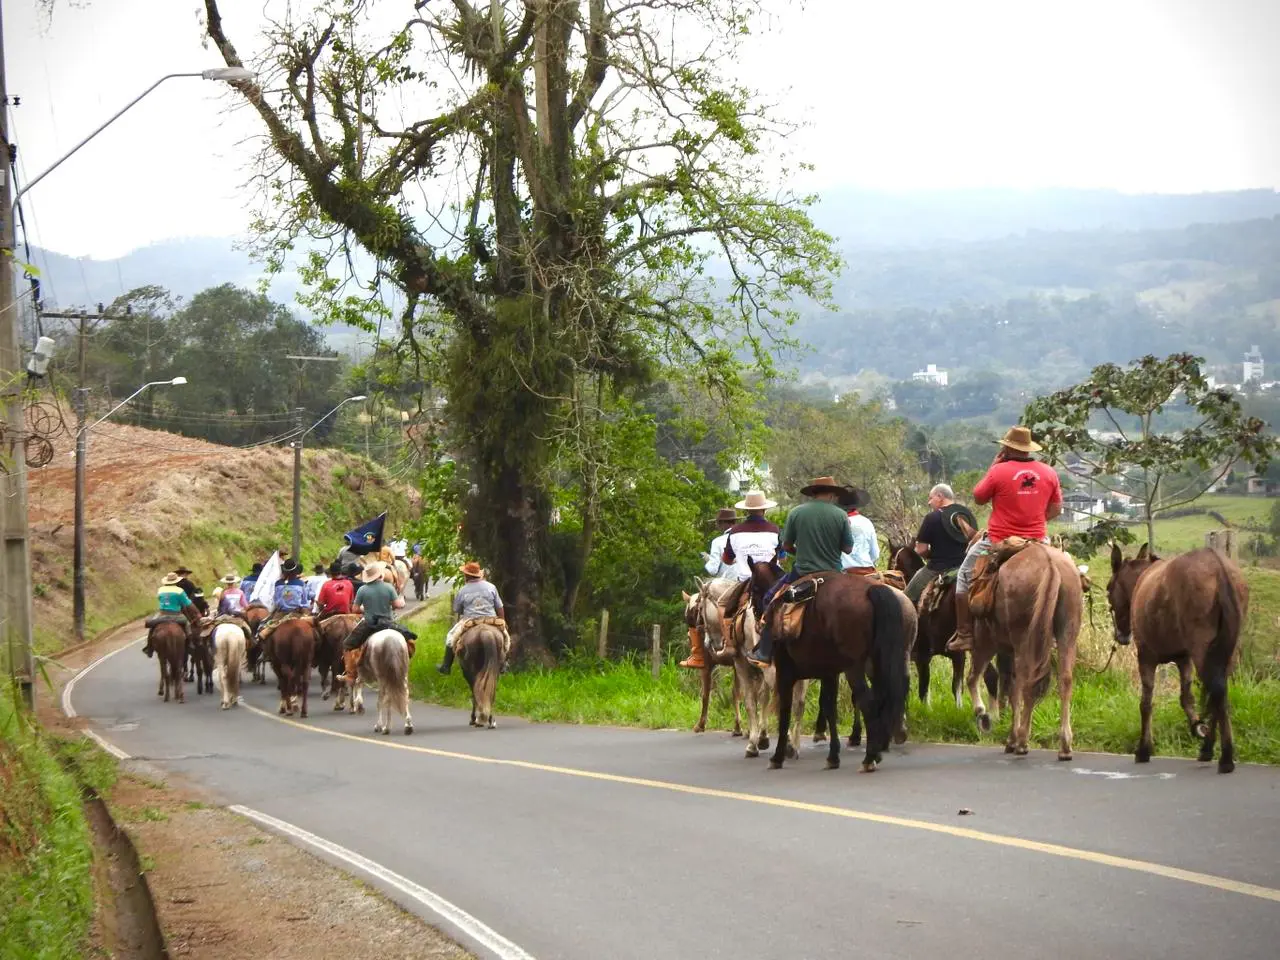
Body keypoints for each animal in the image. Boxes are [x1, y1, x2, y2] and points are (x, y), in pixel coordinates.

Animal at [762, 570, 906, 773]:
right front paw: (833, 757)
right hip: (877, 664)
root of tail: (872, 590)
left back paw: (869, 758)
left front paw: (777, 757)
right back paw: (877, 751)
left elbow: (785, 712)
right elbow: (830, 709)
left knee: (868, 703)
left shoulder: (784, 674)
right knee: (881, 701)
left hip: (854, 668)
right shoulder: (829, 674)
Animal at [962, 545, 1085, 762]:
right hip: (1067, 633)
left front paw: (984, 715)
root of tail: (1050, 564)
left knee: (1024, 683)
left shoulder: (986, 643)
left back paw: (1020, 741)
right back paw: (1064, 746)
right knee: (1064, 680)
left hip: (1022, 640)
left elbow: (977, 679)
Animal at [1105, 547, 1244, 773]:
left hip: (1202, 651)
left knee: (1217, 694)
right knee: (1217, 695)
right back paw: (1208, 750)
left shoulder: (1146, 657)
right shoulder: (1183, 659)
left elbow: (1146, 704)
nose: (1121, 636)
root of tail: (1218, 566)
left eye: (1109, 589)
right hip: (1226, 653)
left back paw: (1225, 758)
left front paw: (1144, 749)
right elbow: (1186, 698)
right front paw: (1197, 726)